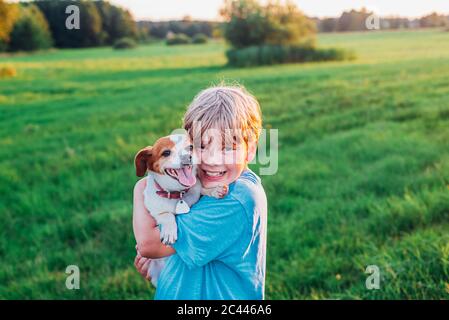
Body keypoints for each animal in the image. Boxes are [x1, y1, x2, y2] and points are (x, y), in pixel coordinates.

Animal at [132, 132, 224, 284]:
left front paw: (214, 190)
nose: (188, 157)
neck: (178, 193)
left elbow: (200, 188)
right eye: (166, 153)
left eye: (190, 147)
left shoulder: (195, 188)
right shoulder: (155, 210)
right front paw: (169, 231)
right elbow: (166, 215)